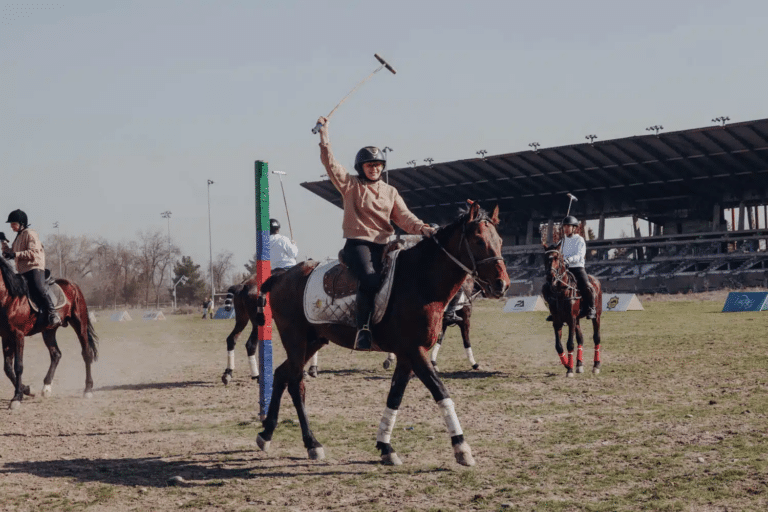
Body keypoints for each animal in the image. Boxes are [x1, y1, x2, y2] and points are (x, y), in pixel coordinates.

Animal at [0, 258, 99, 410]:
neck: (8, 297)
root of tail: (73, 285)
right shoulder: (5, 336)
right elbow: (7, 368)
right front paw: (27, 390)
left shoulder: (18, 335)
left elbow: (18, 366)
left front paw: (17, 397)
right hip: (48, 331)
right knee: (56, 354)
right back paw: (46, 387)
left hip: (79, 323)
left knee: (86, 353)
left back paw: (88, 389)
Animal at [249, 202, 508, 466]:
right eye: (478, 240)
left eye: (499, 240)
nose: (502, 284)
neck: (420, 280)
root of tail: (281, 276)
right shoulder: (415, 351)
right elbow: (440, 391)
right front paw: (461, 447)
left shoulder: (407, 356)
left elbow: (394, 397)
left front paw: (385, 446)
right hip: (295, 339)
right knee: (295, 383)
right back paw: (312, 442)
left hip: (313, 340)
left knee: (281, 375)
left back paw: (266, 434)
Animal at [540, 242, 600, 378]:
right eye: (545, 258)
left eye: (557, 258)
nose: (550, 277)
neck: (561, 291)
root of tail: (595, 280)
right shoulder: (557, 321)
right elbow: (559, 346)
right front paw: (568, 365)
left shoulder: (571, 319)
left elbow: (570, 344)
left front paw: (569, 370)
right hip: (577, 320)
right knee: (581, 338)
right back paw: (579, 365)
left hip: (596, 316)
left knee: (596, 337)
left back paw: (596, 366)